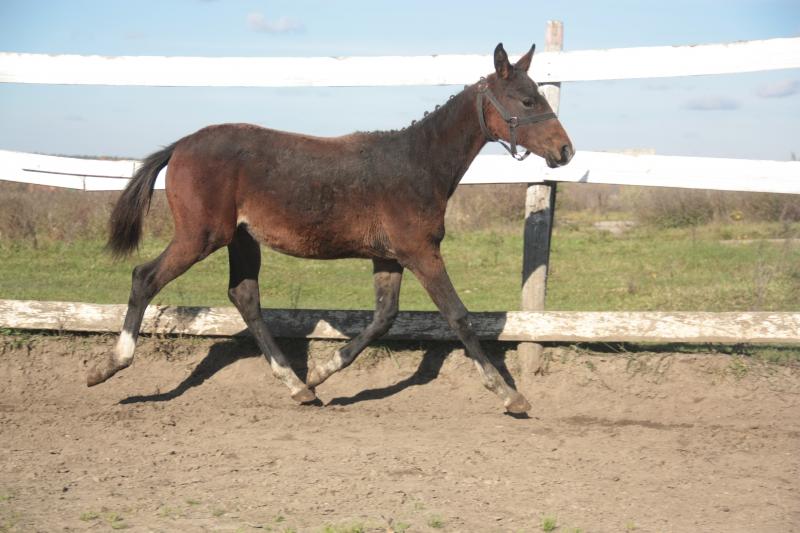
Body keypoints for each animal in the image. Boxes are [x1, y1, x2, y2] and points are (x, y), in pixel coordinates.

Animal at [87, 43, 573, 414]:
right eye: (528, 100)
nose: (565, 151)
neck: (418, 163)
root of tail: (179, 146)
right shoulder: (421, 252)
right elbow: (458, 316)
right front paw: (510, 395)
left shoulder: (389, 257)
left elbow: (383, 318)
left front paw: (321, 373)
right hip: (200, 236)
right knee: (145, 277)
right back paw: (108, 366)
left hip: (242, 241)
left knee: (245, 297)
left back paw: (298, 386)